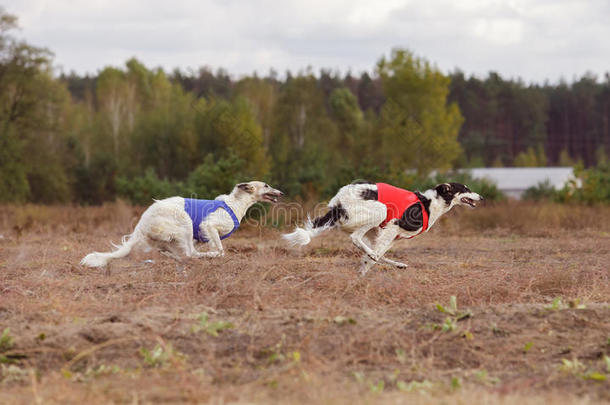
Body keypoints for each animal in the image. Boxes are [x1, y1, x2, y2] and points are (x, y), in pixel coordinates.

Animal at [79, 181, 282, 266]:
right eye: (266, 185)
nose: (281, 193)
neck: (235, 204)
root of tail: (141, 226)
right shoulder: (208, 226)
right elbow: (220, 249)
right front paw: (216, 254)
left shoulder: (199, 237)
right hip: (184, 222)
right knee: (190, 254)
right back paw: (206, 257)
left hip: (169, 237)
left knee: (174, 252)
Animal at [282, 182, 482, 274]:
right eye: (465, 188)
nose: (481, 197)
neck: (429, 204)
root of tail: (338, 202)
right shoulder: (394, 226)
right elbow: (375, 255)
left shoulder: (391, 236)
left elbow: (375, 257)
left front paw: (362, 274)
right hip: (380, 210)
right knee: (356, 239)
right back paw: (375, 256)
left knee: (371, 250)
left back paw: (396, 264)